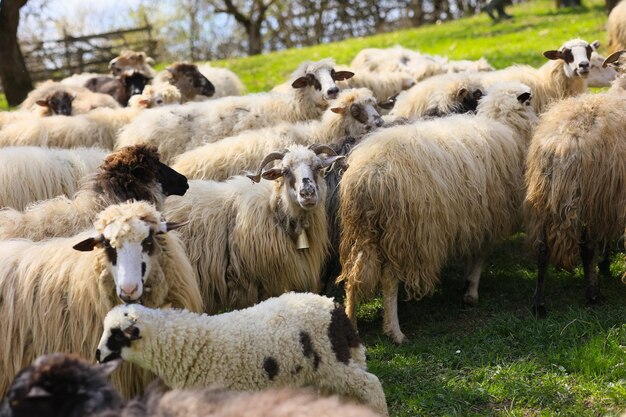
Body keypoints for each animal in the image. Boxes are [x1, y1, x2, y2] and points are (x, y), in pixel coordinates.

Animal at [95, 290, 388, 414]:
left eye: (117, 334)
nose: (97, 355)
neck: (188, 345)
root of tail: (334, 308)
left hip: (335, 363)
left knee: (371, 384)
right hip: (323, 372)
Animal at [336, 81, 536, 342]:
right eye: (530, 101)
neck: (507, 126)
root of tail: (369, 175)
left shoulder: (472, 216)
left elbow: (472, 252)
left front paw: (466, 283)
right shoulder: (489, 215)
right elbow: (481, 255)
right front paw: (471, 291)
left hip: (364, 230)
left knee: (353, 277)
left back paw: (351, 323)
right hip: (403, 232)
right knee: (388, 281)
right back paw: (395, 331)